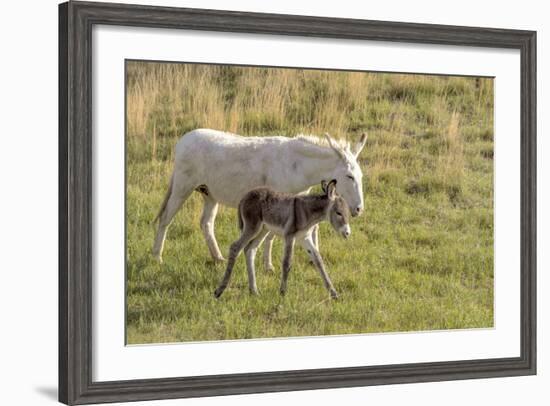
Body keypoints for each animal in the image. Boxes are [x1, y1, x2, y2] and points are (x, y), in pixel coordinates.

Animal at [213, 179, 352, 300]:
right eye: (338, 213)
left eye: (347, 213)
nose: (347, 233)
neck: (307, 212)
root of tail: (244, 197)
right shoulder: (289, 236)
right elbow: (287, 262)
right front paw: (282, 292)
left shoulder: (304, 238)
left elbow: (318, 260)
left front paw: (333, 293)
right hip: (252, 227)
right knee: (235, 248)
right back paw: (219, 290)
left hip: (263, 230)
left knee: (250, 250)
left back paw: (254, 291)